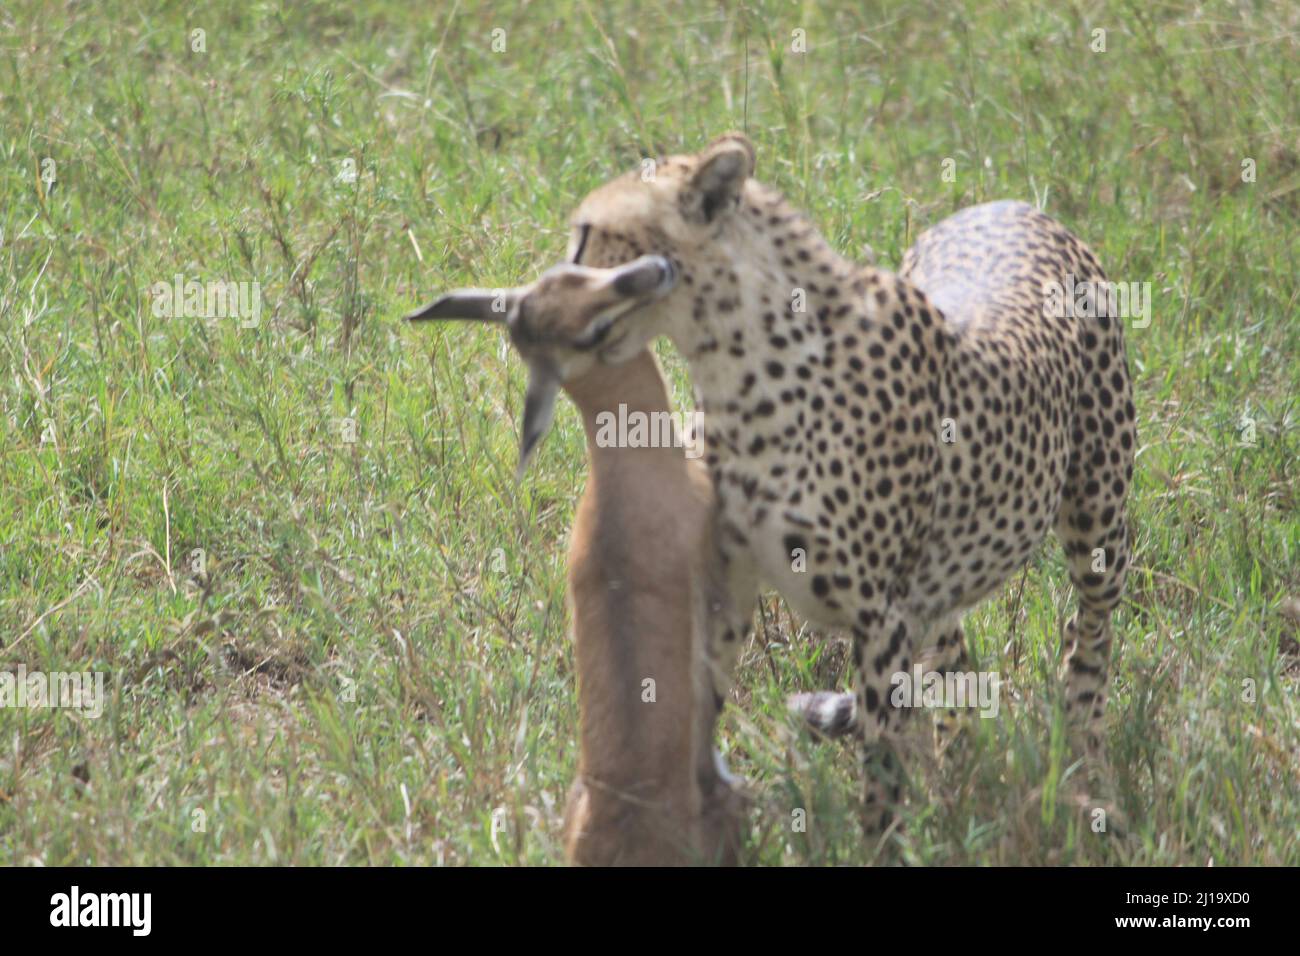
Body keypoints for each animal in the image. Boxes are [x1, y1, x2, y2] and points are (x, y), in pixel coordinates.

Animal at [553, 134, 1133, 837]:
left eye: (590, 234)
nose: (550, 282)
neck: (737, 367)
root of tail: (1014, 203)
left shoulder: (882, 620)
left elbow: (881, 775)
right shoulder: (731, 587)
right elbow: (701, 703)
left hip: (1097, 523)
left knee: (1088, 630)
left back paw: (1085, 759)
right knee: (957, 657)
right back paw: (959, 770)